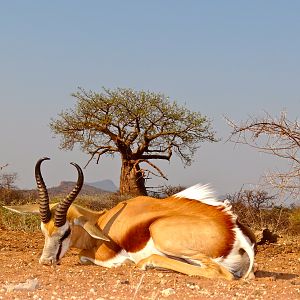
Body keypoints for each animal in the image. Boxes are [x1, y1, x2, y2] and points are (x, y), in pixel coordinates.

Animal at [4, 158, 255, 280]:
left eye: (65, 232)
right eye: (43, 230)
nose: (46, 261)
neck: (102, 220)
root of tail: (233, 230)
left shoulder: (102, 252)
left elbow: (85, 257)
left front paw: (121, 263)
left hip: (165, 238)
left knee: (219, 273)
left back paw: (146, 264)